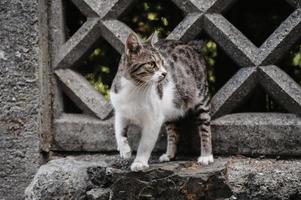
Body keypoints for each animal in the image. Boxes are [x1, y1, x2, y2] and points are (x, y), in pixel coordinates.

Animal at [109, 32, 212, 171]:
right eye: (152, 64)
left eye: (163, 62)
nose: (165, 73)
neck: (135, 88)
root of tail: (192, 45)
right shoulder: (121, 110)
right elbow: (119, 130)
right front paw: (124, 150)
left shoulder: (153, 120)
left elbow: (145, 143)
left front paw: (139, 162)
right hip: (169, 107)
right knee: (174, 131)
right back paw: (169, 154)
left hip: (201, 96)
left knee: (205, 127)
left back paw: (206, 156)